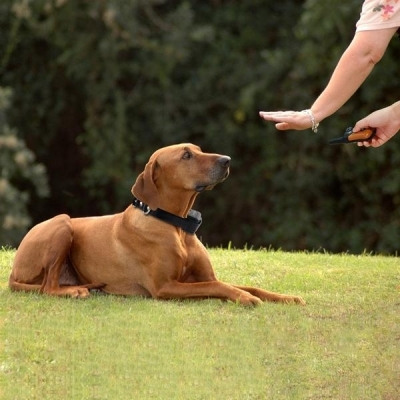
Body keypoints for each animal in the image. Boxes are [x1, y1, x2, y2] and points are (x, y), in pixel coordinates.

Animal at [8, 144, 304, 306]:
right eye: (186, 156)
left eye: (198, 149)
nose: (227, 160)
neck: (176, 226)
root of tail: (13, 272)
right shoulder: (165, 287)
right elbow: (219, 287)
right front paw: (244, 298)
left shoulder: (204, 276)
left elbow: (247, 285)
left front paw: (286, 298)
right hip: (62, 223)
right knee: (47, 288)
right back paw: (75, 291)